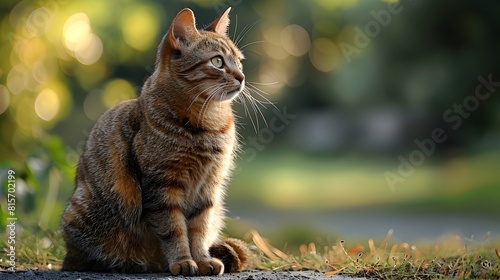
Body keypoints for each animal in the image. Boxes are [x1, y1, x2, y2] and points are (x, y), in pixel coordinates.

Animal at [61, 7, 249, 276]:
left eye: (239, 61)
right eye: (218, 62)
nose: (242, 77)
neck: (207, 121)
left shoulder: (208, 188)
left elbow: (199, 230)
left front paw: (202, 259)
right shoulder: (162, 185)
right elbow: (175, 229)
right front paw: (183, 261)